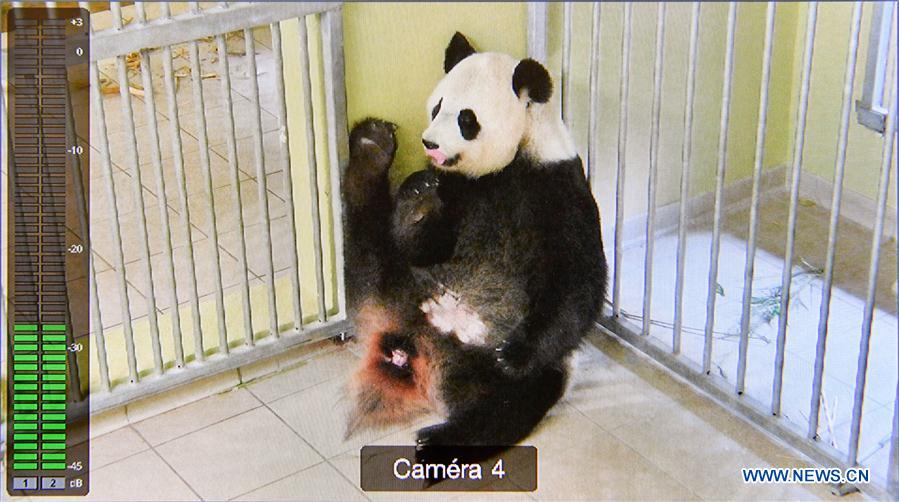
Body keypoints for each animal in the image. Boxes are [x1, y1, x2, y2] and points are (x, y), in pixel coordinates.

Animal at [342, 32, 607, 454]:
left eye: (466, 119)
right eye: (437, 106)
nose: (430, 144)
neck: (509, 163)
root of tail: (410, 346)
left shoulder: (557, 190)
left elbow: (576, 280)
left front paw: (513, 356)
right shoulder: (458, 189)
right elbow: (423, 245)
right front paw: (419, 199)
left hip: (502, 369)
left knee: (509, 404)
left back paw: (436, 442)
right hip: (393, 280)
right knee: (368, 237)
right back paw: (372, 146)